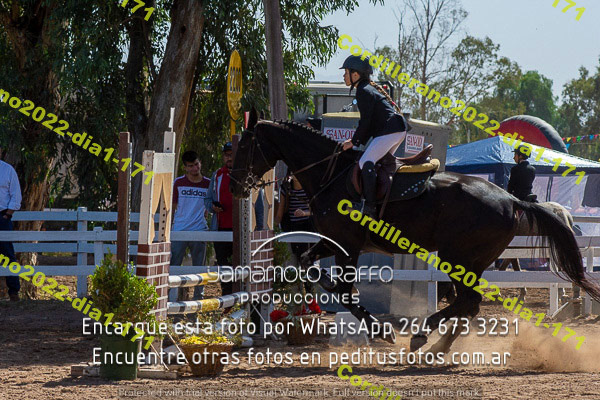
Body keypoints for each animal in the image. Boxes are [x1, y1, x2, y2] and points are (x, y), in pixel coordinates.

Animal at [229, 112, 600, 354]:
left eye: (244, 146)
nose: (235, 186)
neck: (330, 174)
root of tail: (510, 199)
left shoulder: (348, 245)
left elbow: (345, 293)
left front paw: (383, 332)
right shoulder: (333, 242)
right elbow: (308, 265)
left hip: (458, 258)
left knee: (468, 302)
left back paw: (424, 337)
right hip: (471, 262)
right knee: (469, 304)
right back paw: (438, 345)